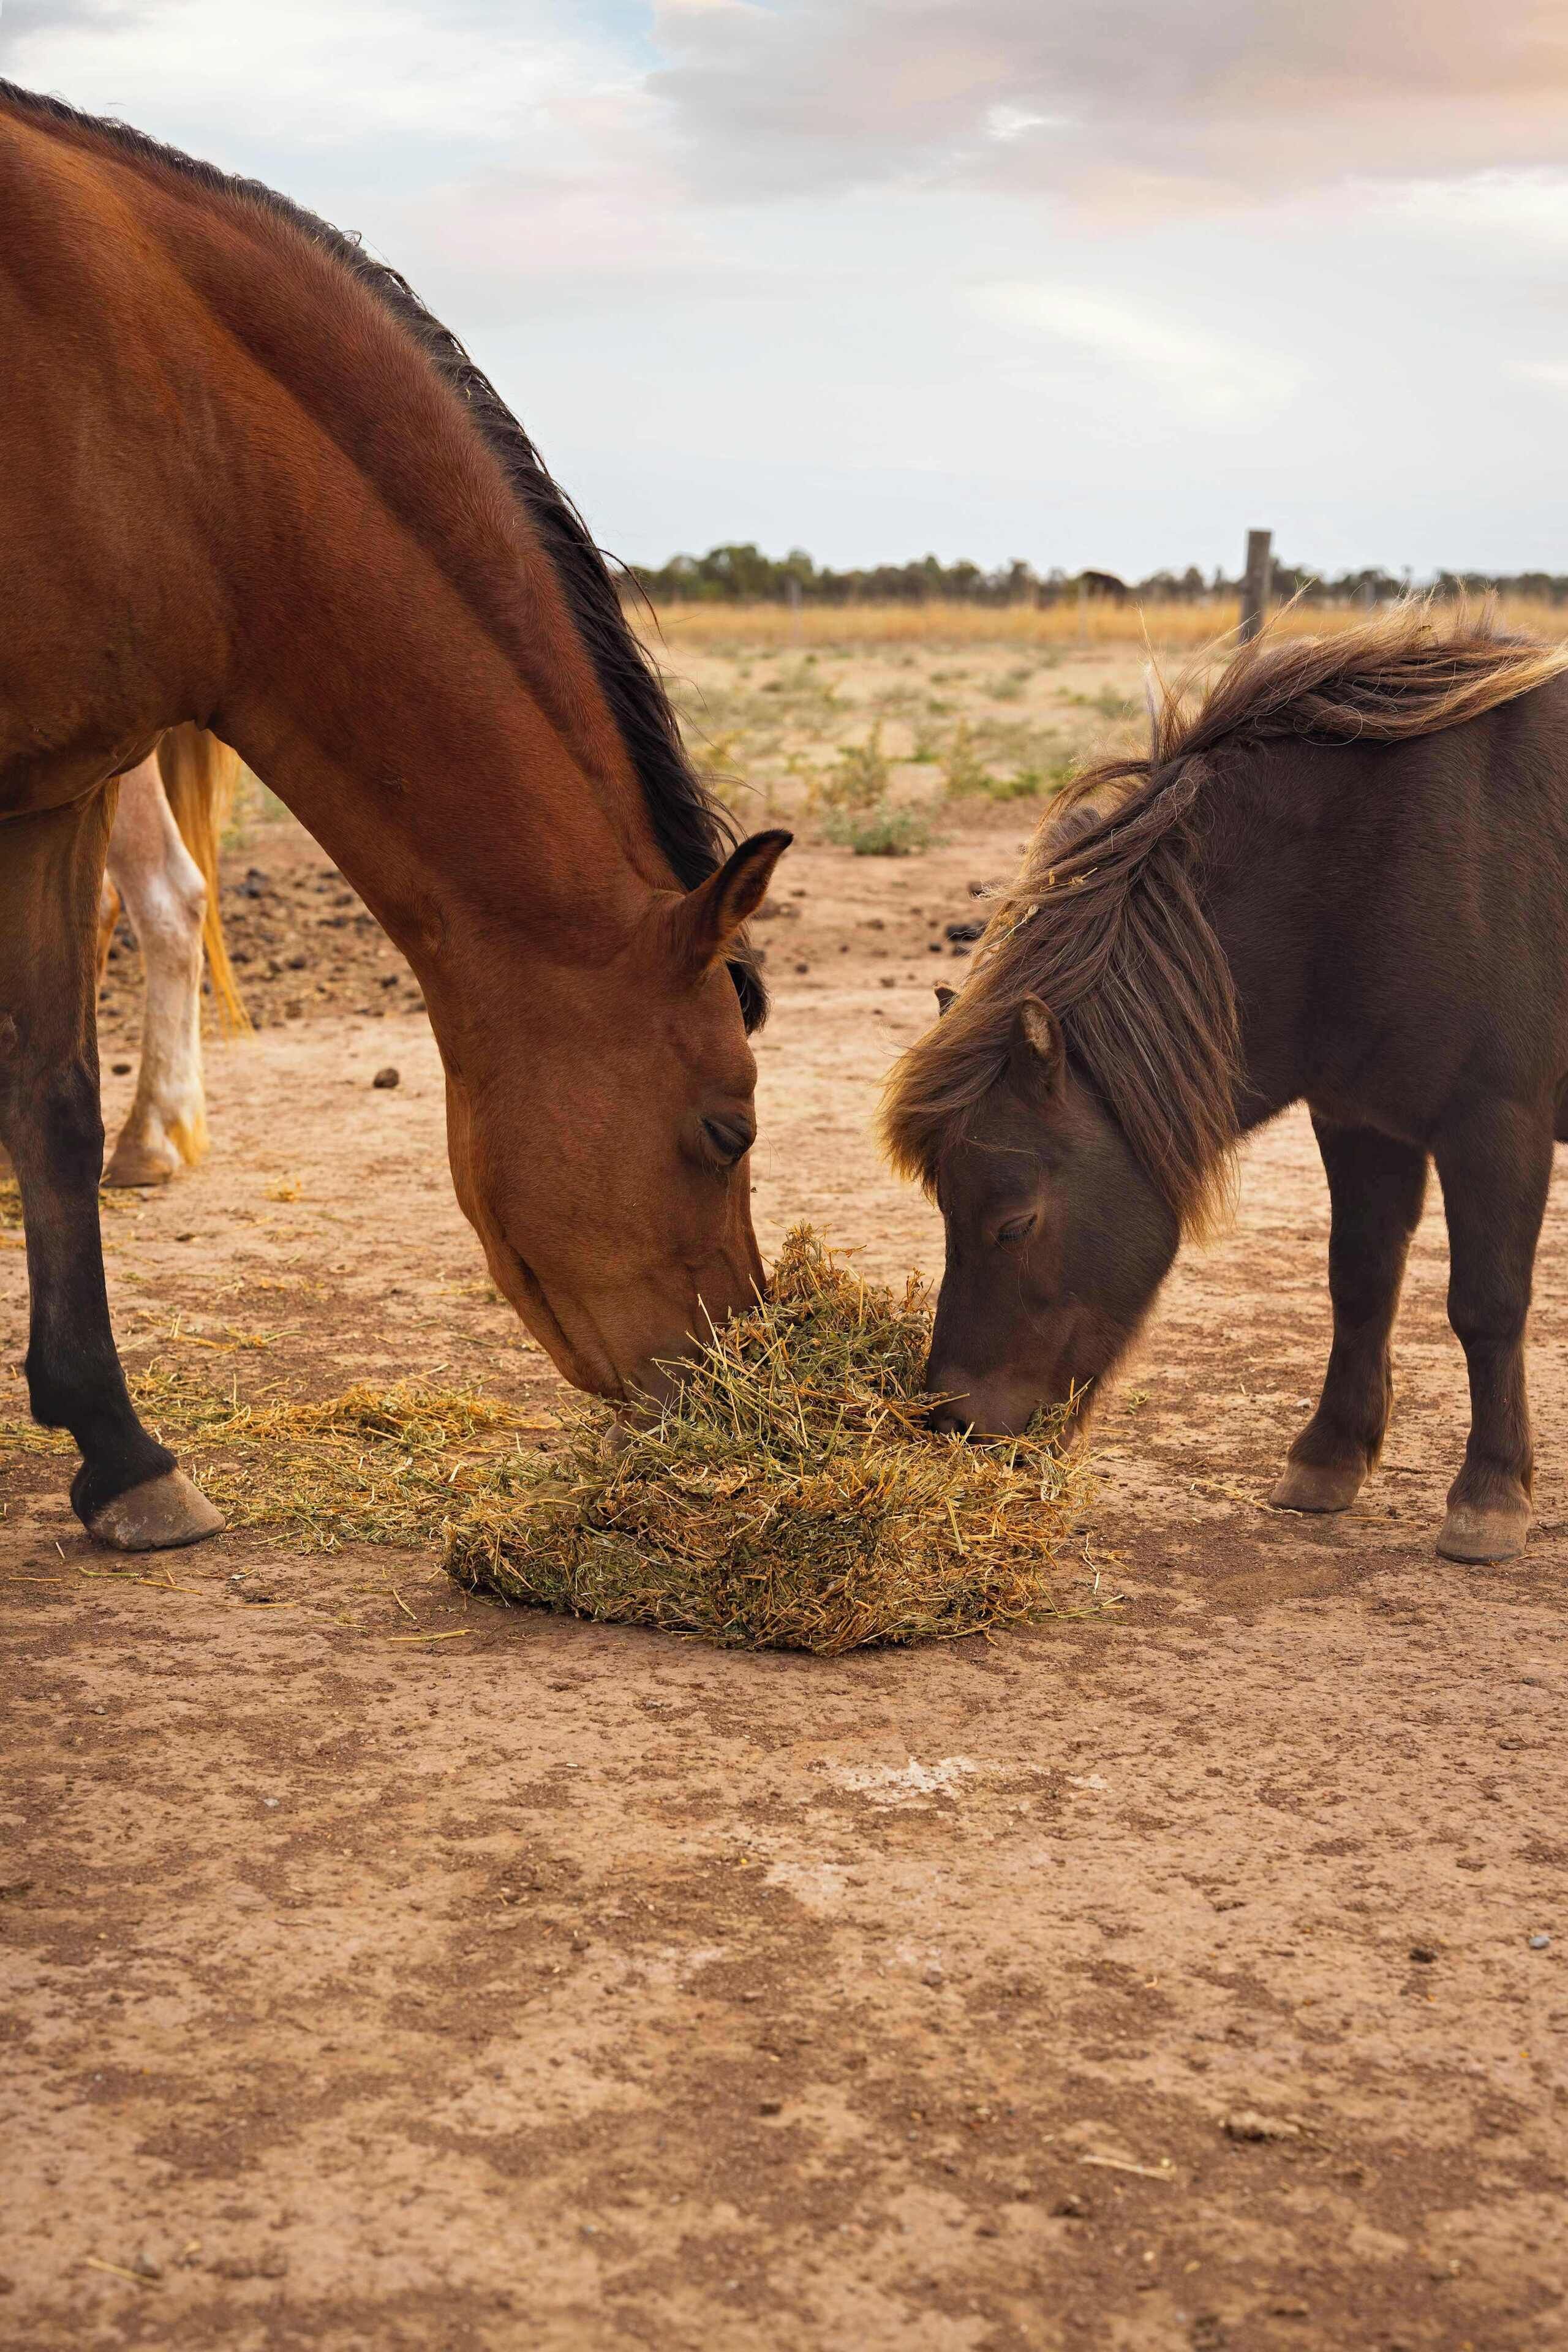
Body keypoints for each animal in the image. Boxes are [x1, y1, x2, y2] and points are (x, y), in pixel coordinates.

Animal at [883, 606, 1568, 1565]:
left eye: (1014, 1223)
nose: (953, 1425)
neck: (1375, 867)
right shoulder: (1362, 1121)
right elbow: (1360, 1281)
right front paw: (1326, 1461)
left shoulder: (1496, 1124)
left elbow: (1488, 1305)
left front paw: (1491, 1497)